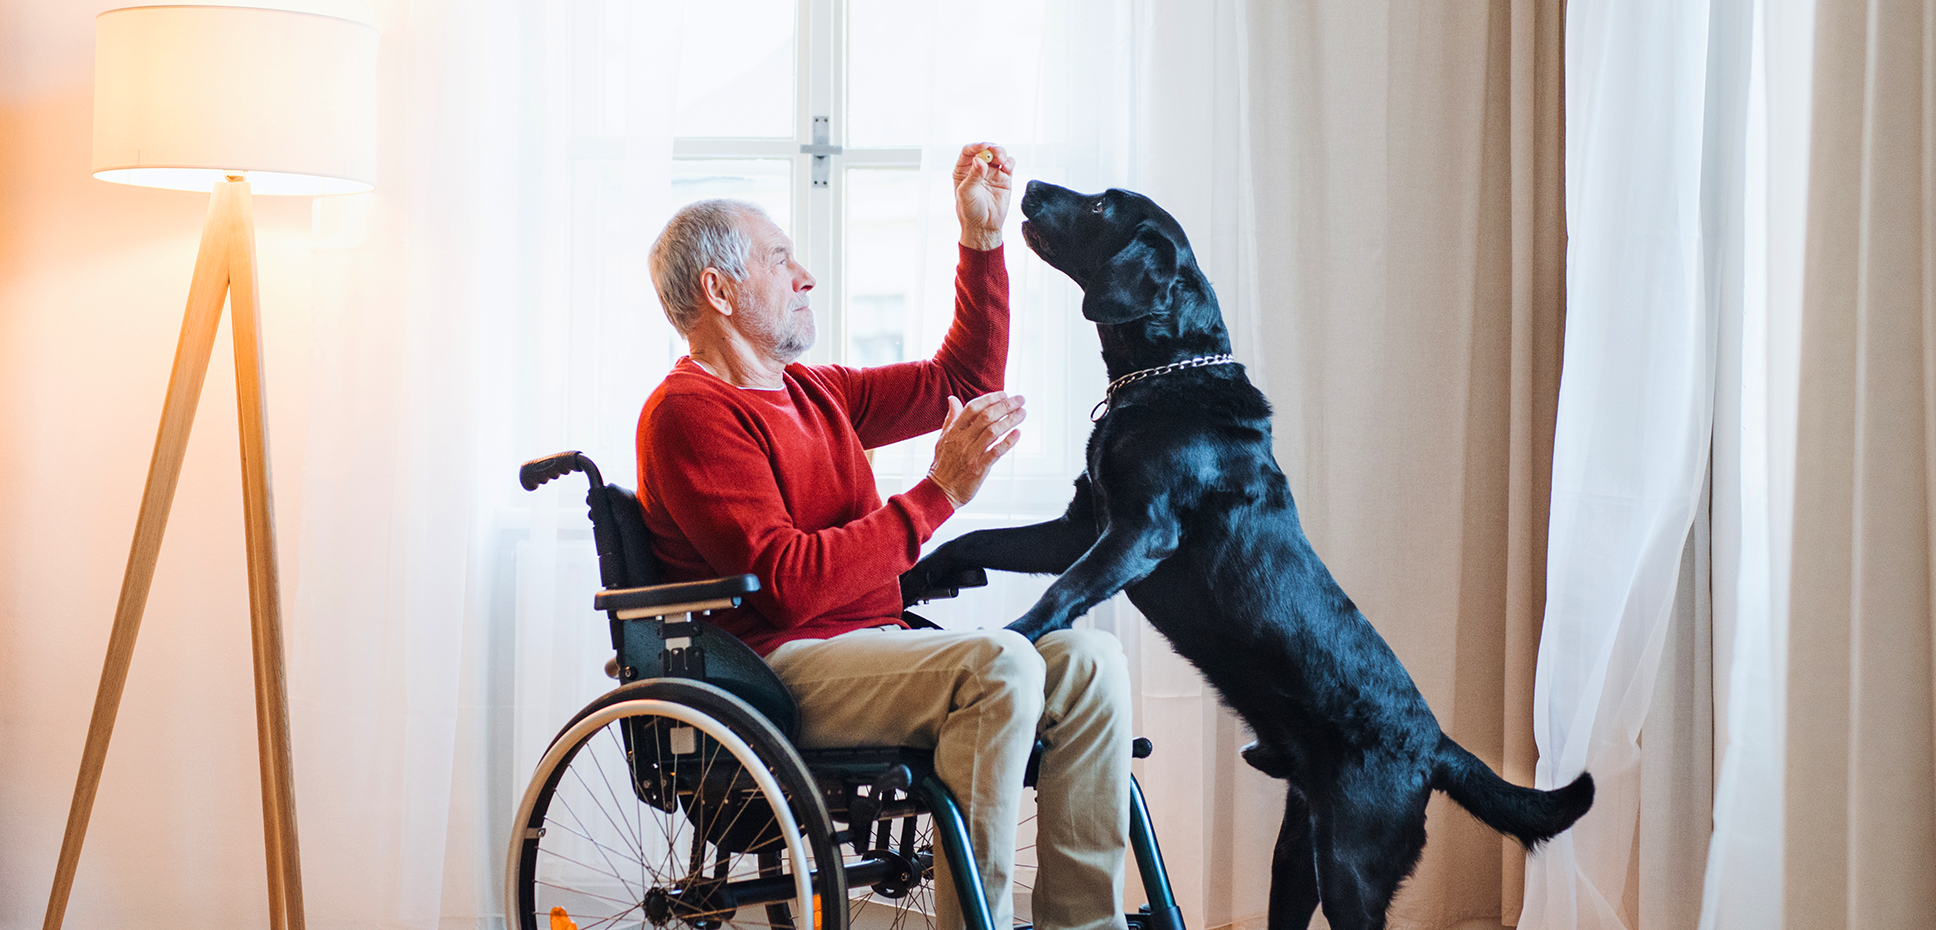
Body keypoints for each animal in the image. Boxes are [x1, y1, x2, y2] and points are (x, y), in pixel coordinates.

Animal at [902, 180, 1587, 930]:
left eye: (1101, 208)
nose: (1028, 186)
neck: (1163, 374)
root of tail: (1434, 744)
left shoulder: (1140, 531)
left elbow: (1061, 592)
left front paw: (1013, 633)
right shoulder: (1079, 527)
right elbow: (973, 540)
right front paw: (911, 579)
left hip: (1351, 864)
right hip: (1296, 856)